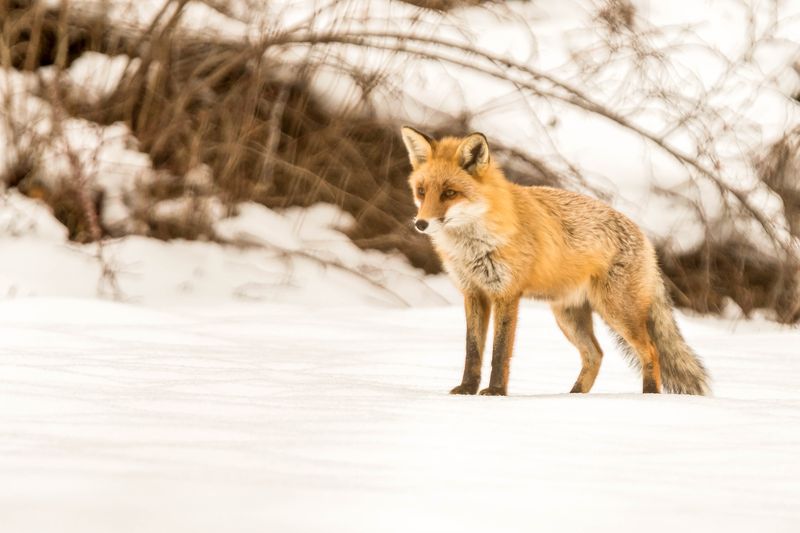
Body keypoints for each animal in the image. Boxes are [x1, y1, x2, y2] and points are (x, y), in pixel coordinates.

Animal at [400, 126, 710, 396]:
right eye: (421, 191)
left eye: (450, 193)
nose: (420, 224)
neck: (473, 244)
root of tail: (645, 238)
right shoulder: (474, 293)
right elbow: (472, 350)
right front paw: (467, 389)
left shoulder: (506, 293)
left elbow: (499, 353)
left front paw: (496, 392)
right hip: (569, 317)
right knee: (595, 355)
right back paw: (572, 397)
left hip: (617, 312)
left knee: (651, 351)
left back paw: (650, 397)